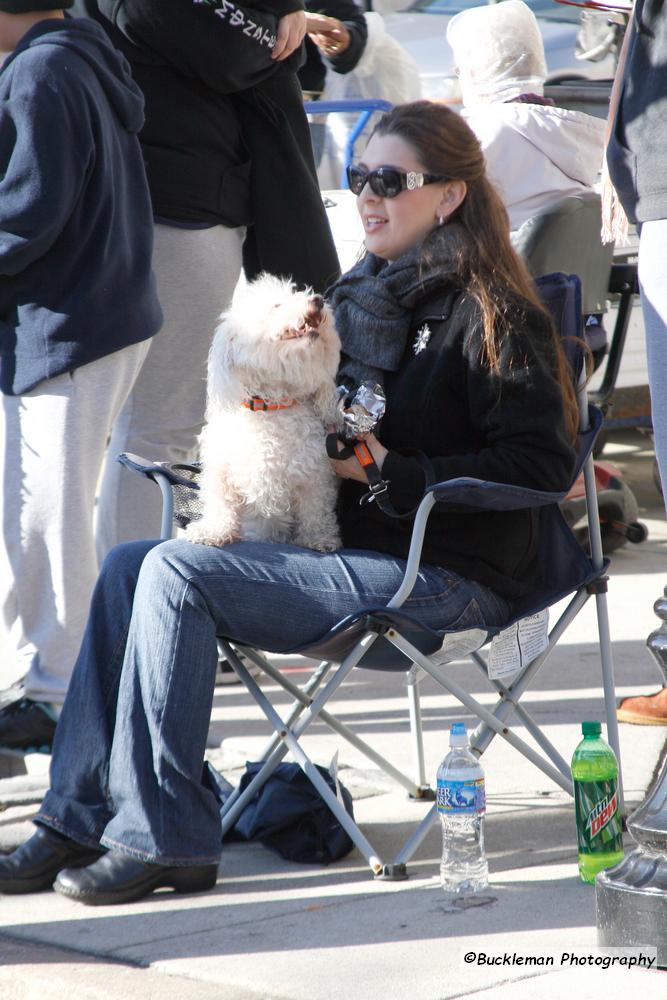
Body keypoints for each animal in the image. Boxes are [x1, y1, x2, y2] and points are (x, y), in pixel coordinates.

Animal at [188, 274, 344, 552]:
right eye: (277, 305)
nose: (317, 300)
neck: (271, 407)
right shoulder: (221, 470)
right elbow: (220, 503)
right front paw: (213, 531)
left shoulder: (315, 475)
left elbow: (316, 508)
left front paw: (319, 538)